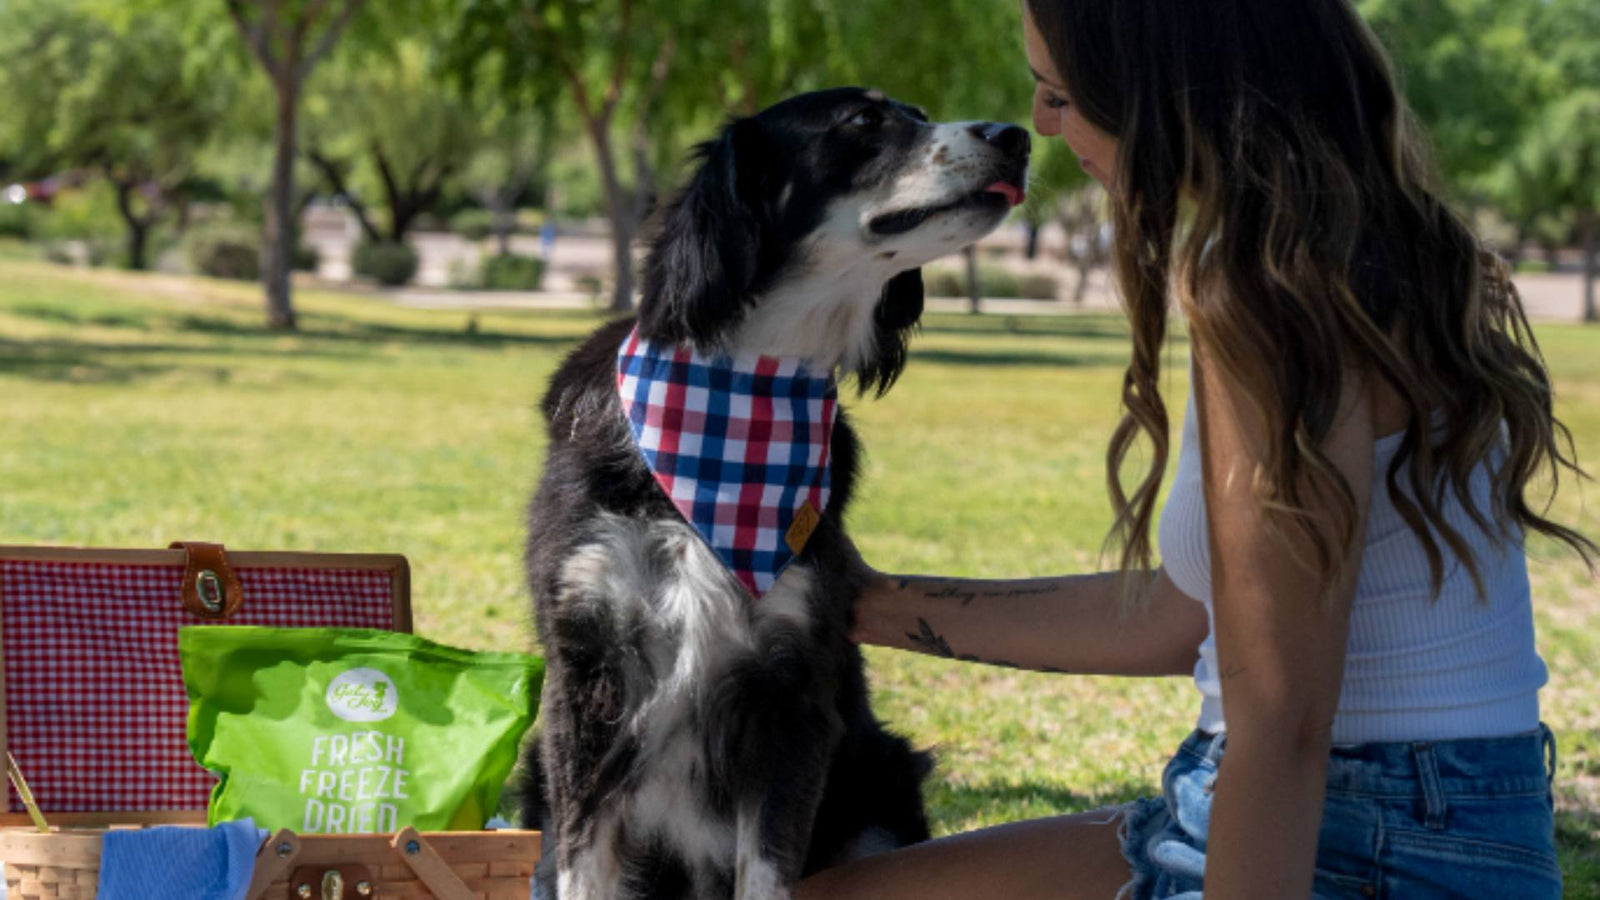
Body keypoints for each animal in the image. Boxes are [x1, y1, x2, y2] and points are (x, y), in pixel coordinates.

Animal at [518, 85, 1030, 896]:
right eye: (864, 120)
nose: (1019, 137)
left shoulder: (792, 693)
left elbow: (766, 867)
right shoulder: (585, 674)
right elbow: (583, 862)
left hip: (880, 781)